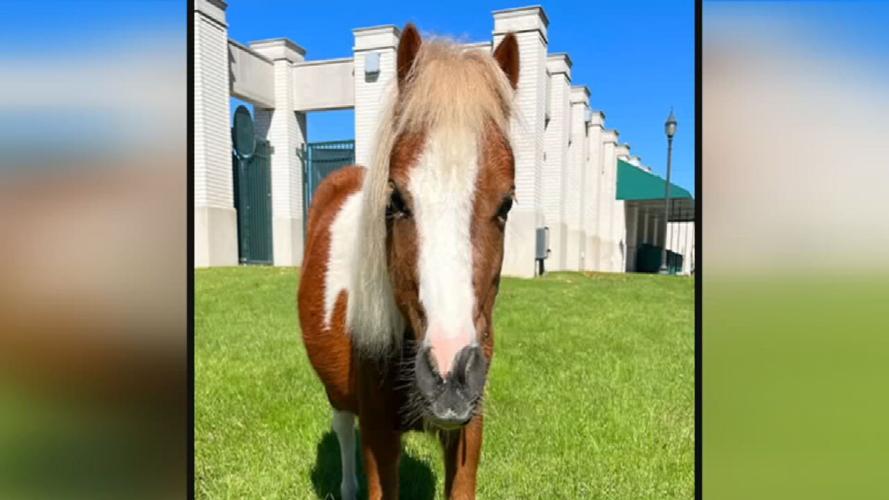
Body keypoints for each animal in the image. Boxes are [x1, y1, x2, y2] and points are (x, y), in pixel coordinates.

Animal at [297, 24, 519, 500]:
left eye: (506, 204)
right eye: (396, 201)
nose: (450, 372)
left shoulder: (468, 431)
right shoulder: (379, 434)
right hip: (337, 394)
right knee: (343, 427)